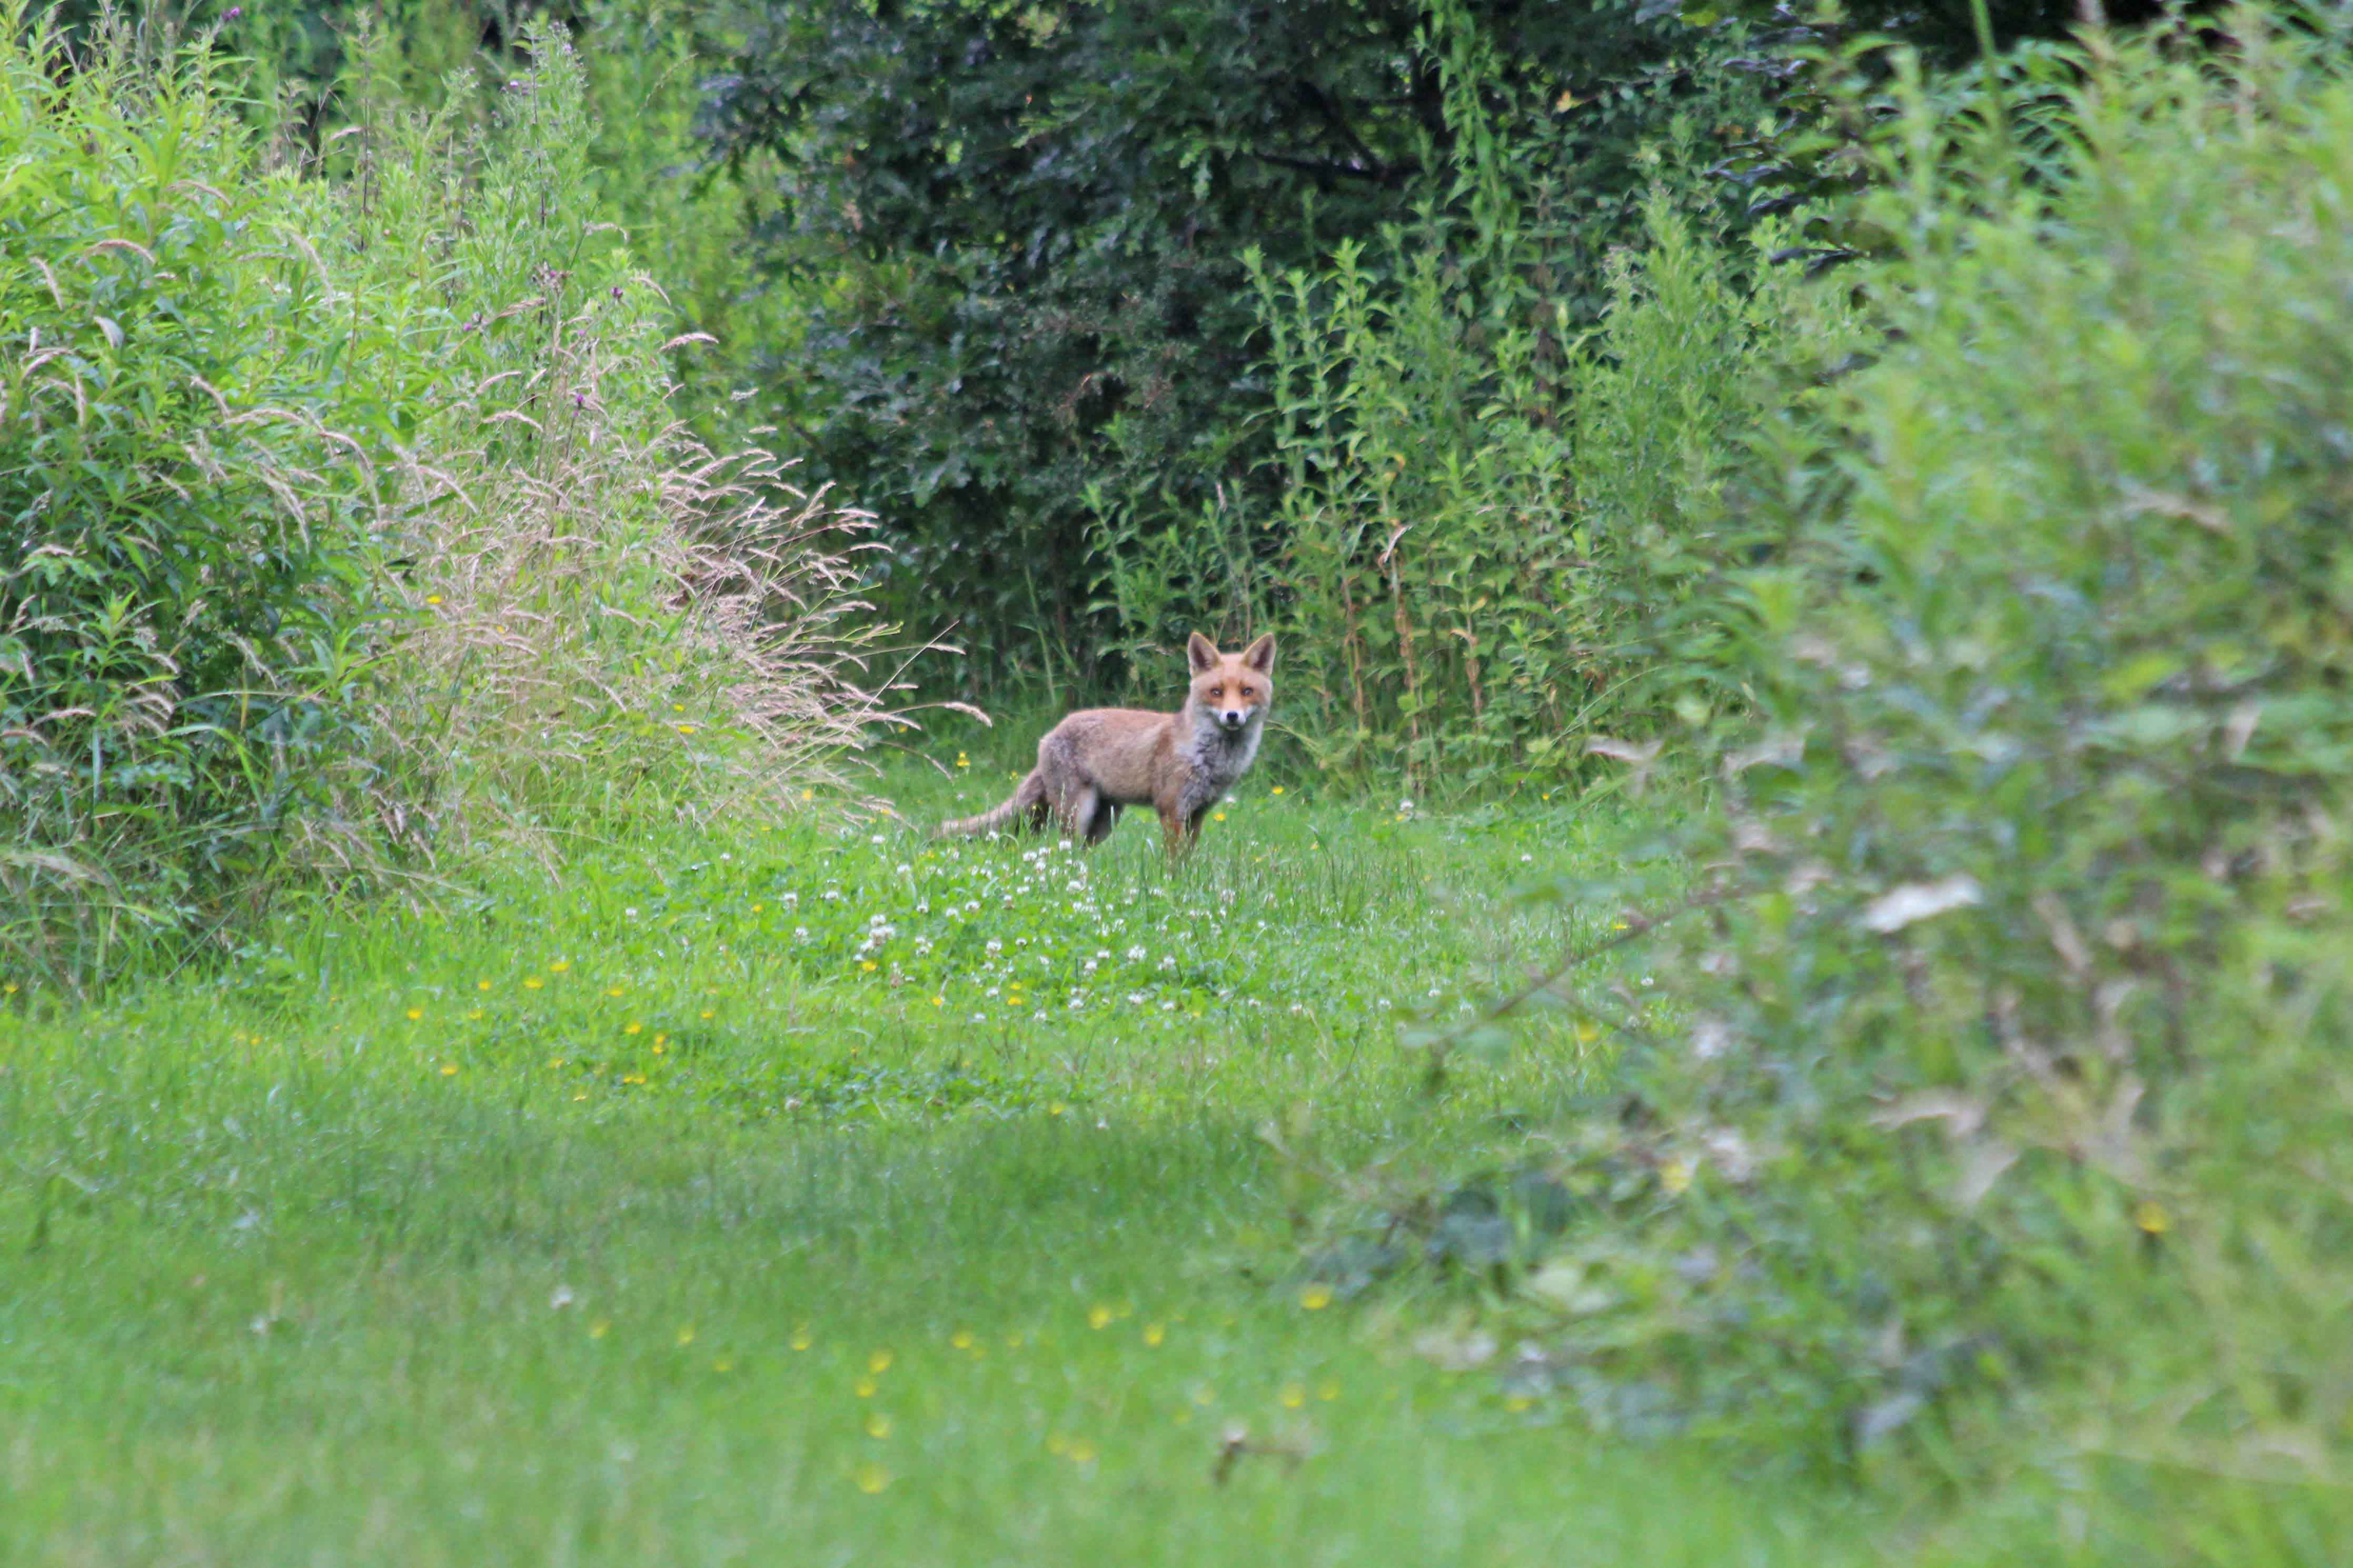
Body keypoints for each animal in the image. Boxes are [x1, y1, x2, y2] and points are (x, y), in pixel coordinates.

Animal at [937, 632, 1276, 857]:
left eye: (1247, 692)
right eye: (1216, 692)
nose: (1232, 716)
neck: (1208, 757)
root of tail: (1051, 733)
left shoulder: (1198, 813)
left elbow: (1188, 860)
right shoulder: (1171, 809)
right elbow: (1173, 861)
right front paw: (1175, 886)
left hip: (1104, 822)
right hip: (1078, 813)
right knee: (1063, 850)